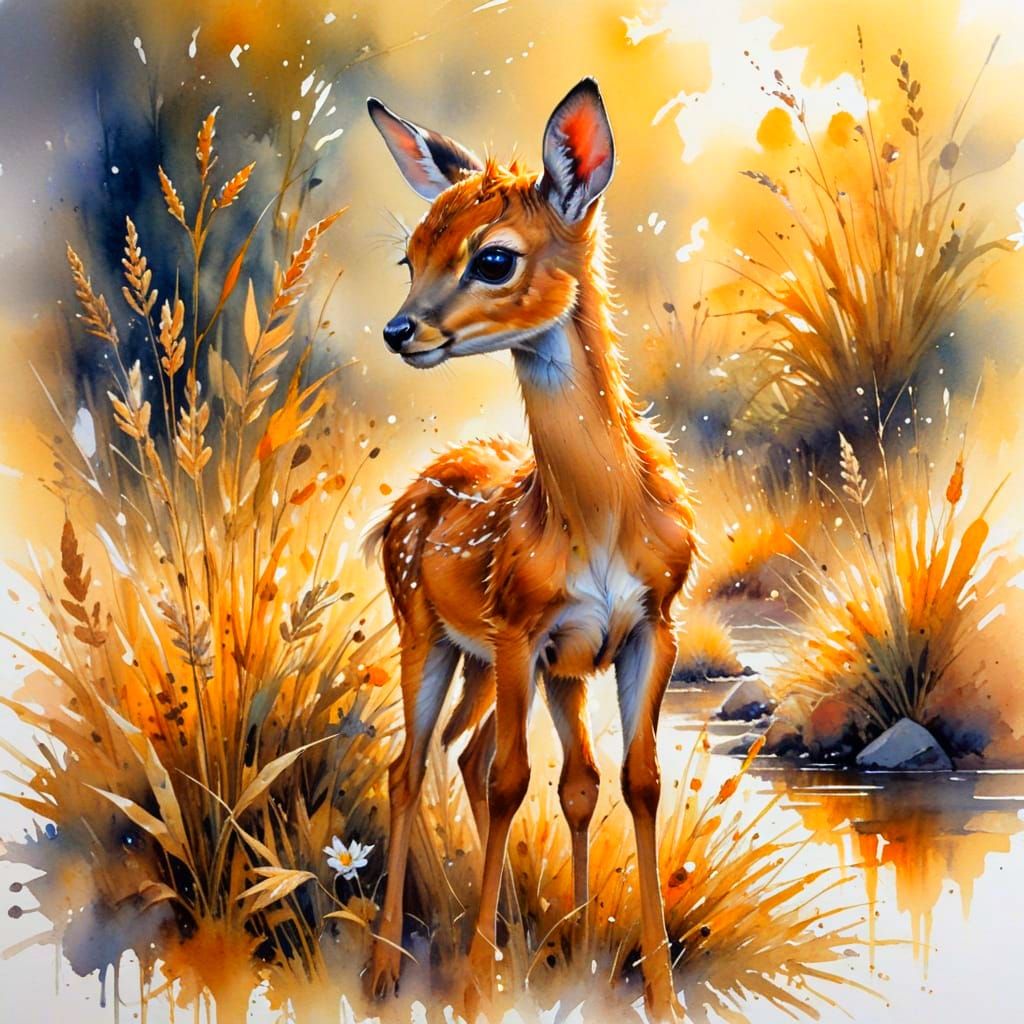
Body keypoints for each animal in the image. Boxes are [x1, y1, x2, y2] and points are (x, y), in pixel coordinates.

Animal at [363, 79, 695, 1022]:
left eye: (493, 258)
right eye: (410, 254)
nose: (401, 330)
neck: (597, 518)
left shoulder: (642, 627)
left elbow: (625, 781)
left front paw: (642, 981)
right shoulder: (523, 629)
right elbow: (519, 780)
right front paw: (477, 987)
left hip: (485, 661)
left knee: (467, 756)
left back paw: (522, 939)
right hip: (425, 632)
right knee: (408, 766)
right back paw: (388, 969)